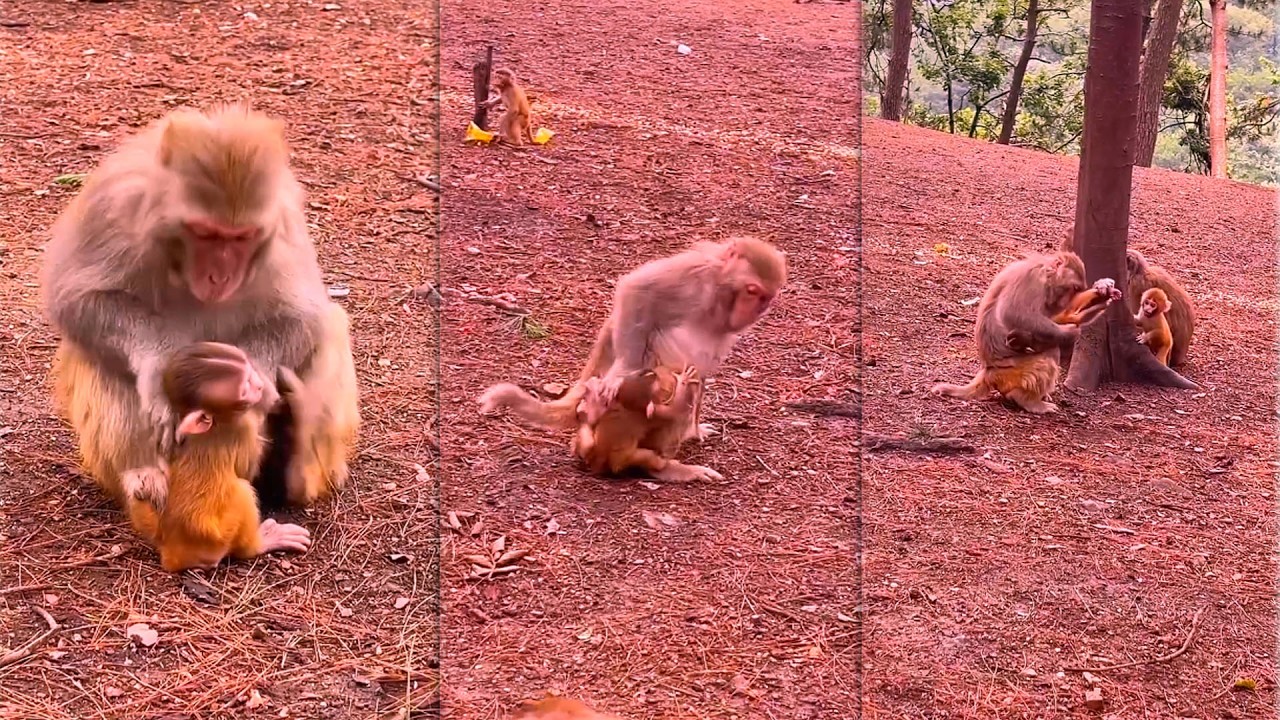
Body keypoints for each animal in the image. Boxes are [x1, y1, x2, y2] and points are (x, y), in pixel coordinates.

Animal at [42, 103, 354, 512]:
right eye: (205, 233)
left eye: (242, 237)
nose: (219, 276)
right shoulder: (114, 205)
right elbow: (75, 299)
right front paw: (158, 367)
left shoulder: (284, 224)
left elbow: (305, 316)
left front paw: (254, 378)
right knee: (97, 356)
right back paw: (145, 476)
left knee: (330, 328)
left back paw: (293, 465)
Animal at [124, 342, 312, 572]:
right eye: (245, 387)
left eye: (249, 369)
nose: (259, 386)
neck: (216, 422)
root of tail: (171, 553)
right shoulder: (244, 425)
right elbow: (246, 470)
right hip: (217, 539)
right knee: (241, 490)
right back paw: (260, 542)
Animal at [478, 236, 787, 441]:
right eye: (751, 290)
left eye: (766, 297)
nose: (757, 310)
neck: (722, 291)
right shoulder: (695, 275)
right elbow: (637, 288)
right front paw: (626, 369)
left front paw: (694, 428)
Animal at [570, 365, 722, 483]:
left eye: (640, 374)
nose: (650, 371)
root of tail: (597, 461)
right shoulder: (658, 410)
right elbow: (675, 410)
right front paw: (684, 381)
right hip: (625, 460)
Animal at [931, 252, 1120, 414]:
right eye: (1073, 288)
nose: (1066, 298)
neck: (1046, 271)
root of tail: (988, 370)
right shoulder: (1033, 279)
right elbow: (1013, 312)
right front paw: (1070, 333)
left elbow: (1060, 313)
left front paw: (1103, 289)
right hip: (1012, 371)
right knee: (1049, 351)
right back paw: (1027, 399)